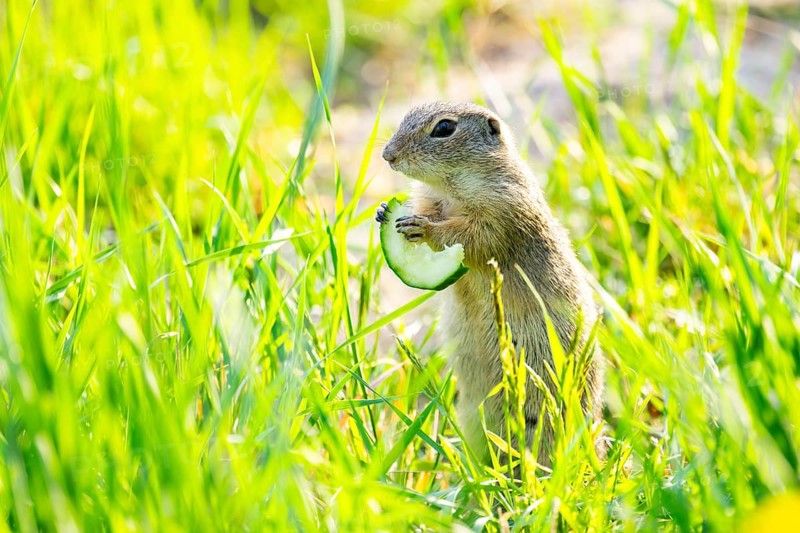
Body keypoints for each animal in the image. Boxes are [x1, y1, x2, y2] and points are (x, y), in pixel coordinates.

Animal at [376, 102, 604, 467]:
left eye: (444, 128)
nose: (388, 155)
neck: (451, 190)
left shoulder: (504, 208)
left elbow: (472, 236)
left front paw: (422, 229)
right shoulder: (433, 199)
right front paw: (385, 210)